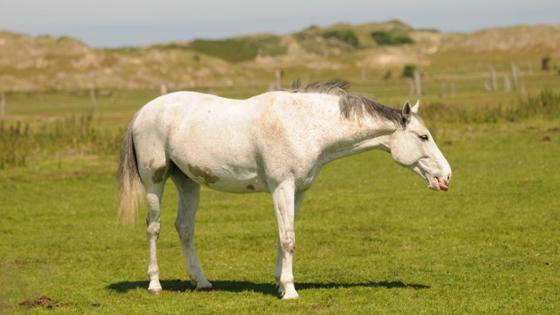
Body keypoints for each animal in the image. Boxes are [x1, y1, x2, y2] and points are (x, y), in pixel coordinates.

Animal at [117, 81, 450, 302]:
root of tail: (143, 112)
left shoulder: (297, 191)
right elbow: (289, 239)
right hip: (155, 181)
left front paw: (280, 283)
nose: (446, 177)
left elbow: (283, 236)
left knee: (184, 228)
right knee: (154, 228)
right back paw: (155, 284)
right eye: (423, 136)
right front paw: (290, 291)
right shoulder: (282, 187)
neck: (304, 125)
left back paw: (202, 282)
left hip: (188, 182)